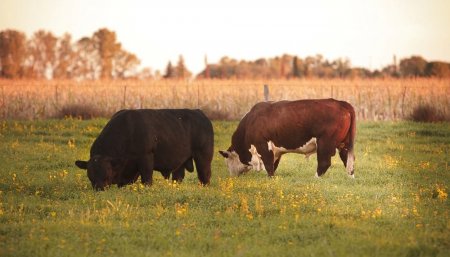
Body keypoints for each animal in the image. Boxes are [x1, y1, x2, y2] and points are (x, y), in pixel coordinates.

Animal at [75, 107, 213, 188]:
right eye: (90, 175)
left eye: (107, 174)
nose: (99, 189)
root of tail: (199, 112)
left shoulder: (146, 158)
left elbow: (146, 180)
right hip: (180, 162)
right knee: (178, 176)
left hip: (203, 157)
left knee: (204, 176)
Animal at [220, 98, 356, 178]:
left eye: (227, 162)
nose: (232, 176)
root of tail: (340, 103)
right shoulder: (276, 151)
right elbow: (273, 164)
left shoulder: (263, 146)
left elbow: (269, 165)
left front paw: (270, 178)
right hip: (344, 144)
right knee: (348, 160)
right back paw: (350, 177)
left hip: (325, 143)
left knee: (324, 163)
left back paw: (316, 178)